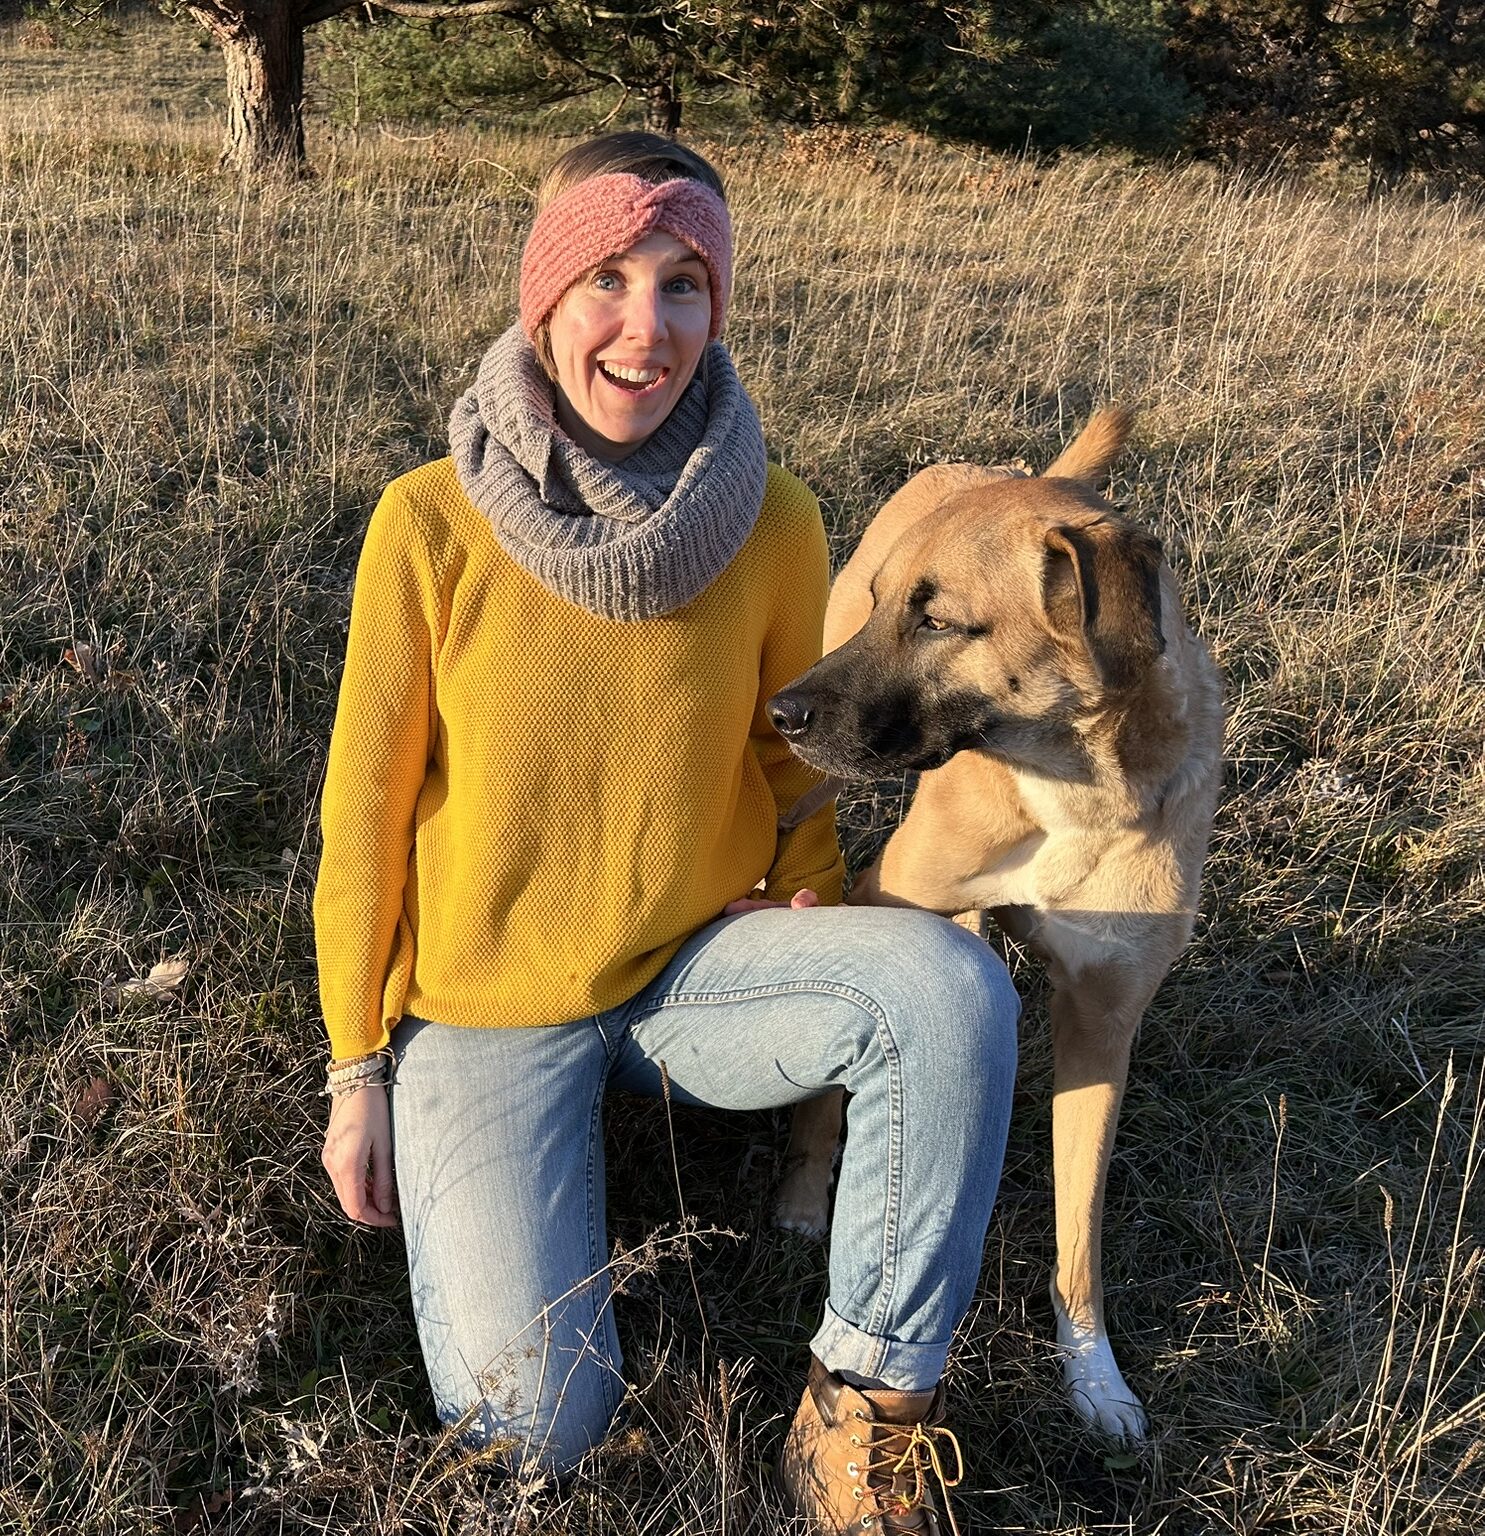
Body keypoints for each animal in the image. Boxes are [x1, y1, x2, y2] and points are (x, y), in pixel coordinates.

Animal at [765, 408, 1222, 1439]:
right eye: (886, 606)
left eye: (938, 621)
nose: (783, 712)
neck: (1069, 786)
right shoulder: (879, 895)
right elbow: (825, 1093)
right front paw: (806, 1194)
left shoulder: (1103, 1018)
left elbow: (1079, 1226)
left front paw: (1094, 1377)